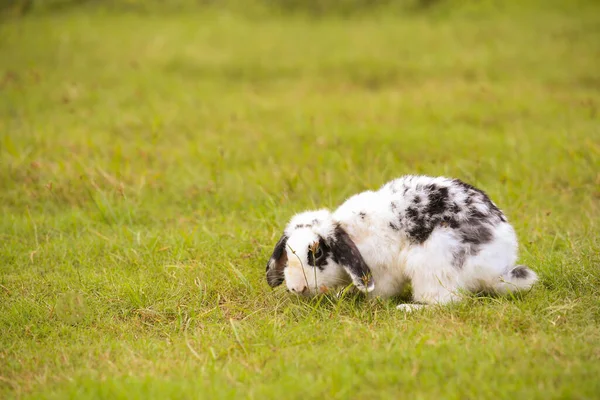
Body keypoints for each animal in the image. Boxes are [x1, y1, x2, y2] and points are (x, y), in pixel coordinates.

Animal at [264, 174, 536, 310]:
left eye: (317, 253)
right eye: (288, 252)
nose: (296, 288)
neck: (353, 236)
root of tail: (499, 267)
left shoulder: (383, 273)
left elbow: (382, 290)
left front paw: (367, 301)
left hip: (431, 267)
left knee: (449, 302)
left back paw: (408, 308)